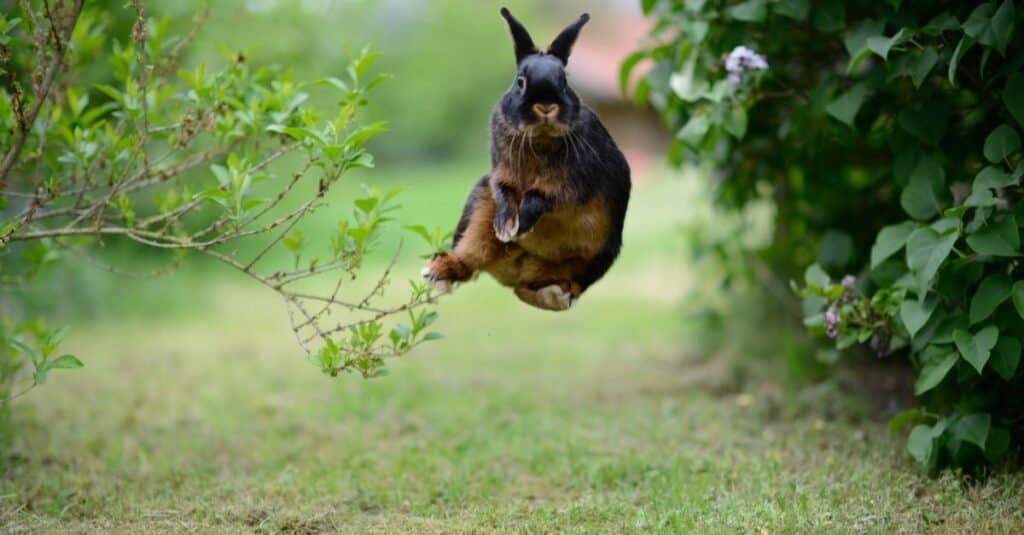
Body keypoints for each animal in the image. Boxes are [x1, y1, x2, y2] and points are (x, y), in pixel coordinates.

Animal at [419, 6, 626, 309]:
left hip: (598, 253)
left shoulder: (571, 183)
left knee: (543, 289)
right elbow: (505, 192)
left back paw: (558, 294)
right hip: (477, 210)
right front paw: (506, 226)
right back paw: (438, 272)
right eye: (520, 82)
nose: (546, 106)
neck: (539, 137)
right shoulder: (501, 174)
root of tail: (515, 270)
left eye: (565, 81)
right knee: (472, 261)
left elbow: (541, 196)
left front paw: (520, 225)